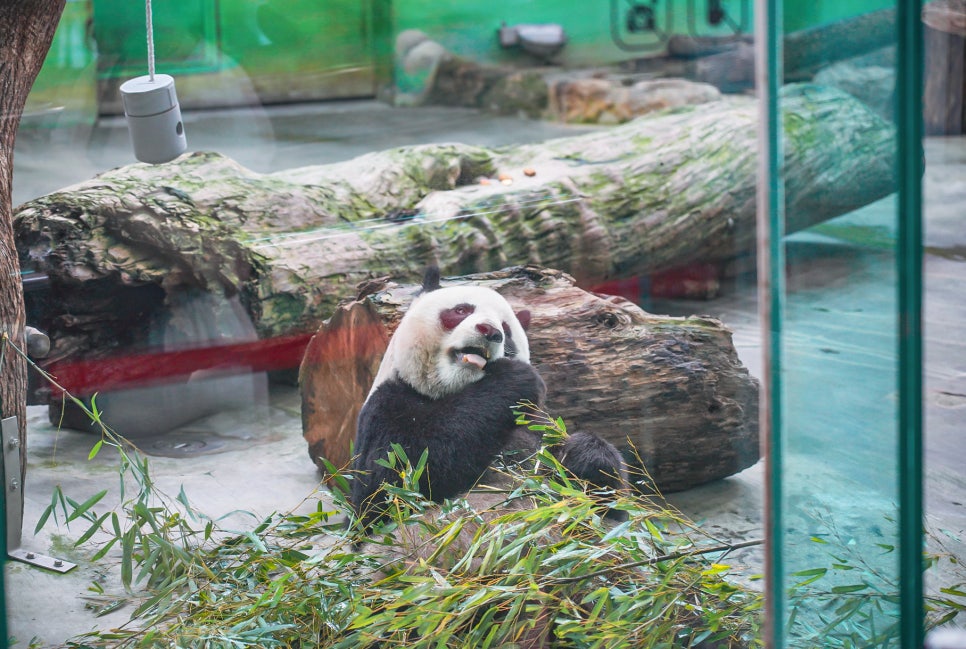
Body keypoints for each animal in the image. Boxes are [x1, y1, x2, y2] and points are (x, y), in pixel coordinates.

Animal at [348, 268, 628, 528]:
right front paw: (515, 378)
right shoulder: (384, 407)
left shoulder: (535, 425)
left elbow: (612, 508)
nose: (490, 330)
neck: (452, 388)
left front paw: (588, 456)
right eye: (461, 310)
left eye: (506, 329)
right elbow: (393, 480)